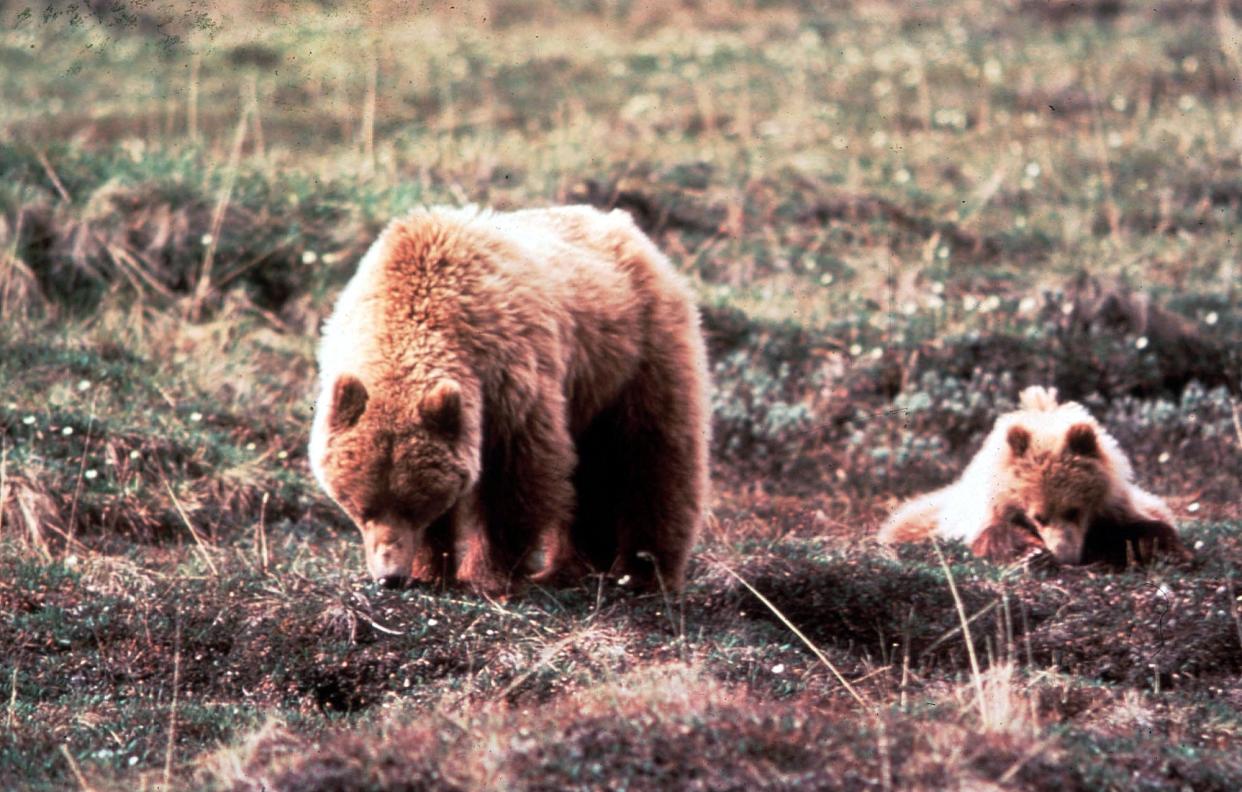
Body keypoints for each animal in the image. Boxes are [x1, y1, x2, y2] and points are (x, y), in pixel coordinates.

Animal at [308, 204, 710, 590]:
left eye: (413, 506)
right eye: (363, 507)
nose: (390, 576)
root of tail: (624, 226)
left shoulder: (508, 380)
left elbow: (516, 478)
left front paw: (489, 573)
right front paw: (431, 569)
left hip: (637, 354)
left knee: (653, 457)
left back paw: (641, 572)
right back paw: (576, 567)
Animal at [879, 387, 1187, 568]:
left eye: (1074, 510)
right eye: (1039, 516)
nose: (1066, 555)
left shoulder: (1116, 506)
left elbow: (1145, 525)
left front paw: (1159, 547)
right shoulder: (982, 515)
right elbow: (994, 534)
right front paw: (1033, 553)